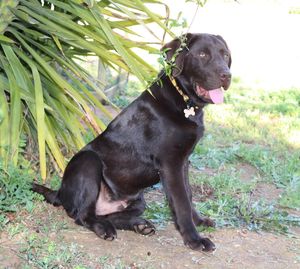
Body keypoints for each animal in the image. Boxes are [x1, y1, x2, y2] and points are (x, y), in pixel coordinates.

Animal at [34, 33, 233, 251]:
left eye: (225, 55)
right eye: (202, 54)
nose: (227, 75)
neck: (184, 101)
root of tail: (60, 192)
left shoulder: (184, 161)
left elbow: (188, 195)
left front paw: (199, 222)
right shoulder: (171, 163)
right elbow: (181, 202)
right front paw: (194, 239)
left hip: (139, 200)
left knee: (109, 216)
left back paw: (139, 225)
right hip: (88, 162)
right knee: (83, 215)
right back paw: (105, 229)